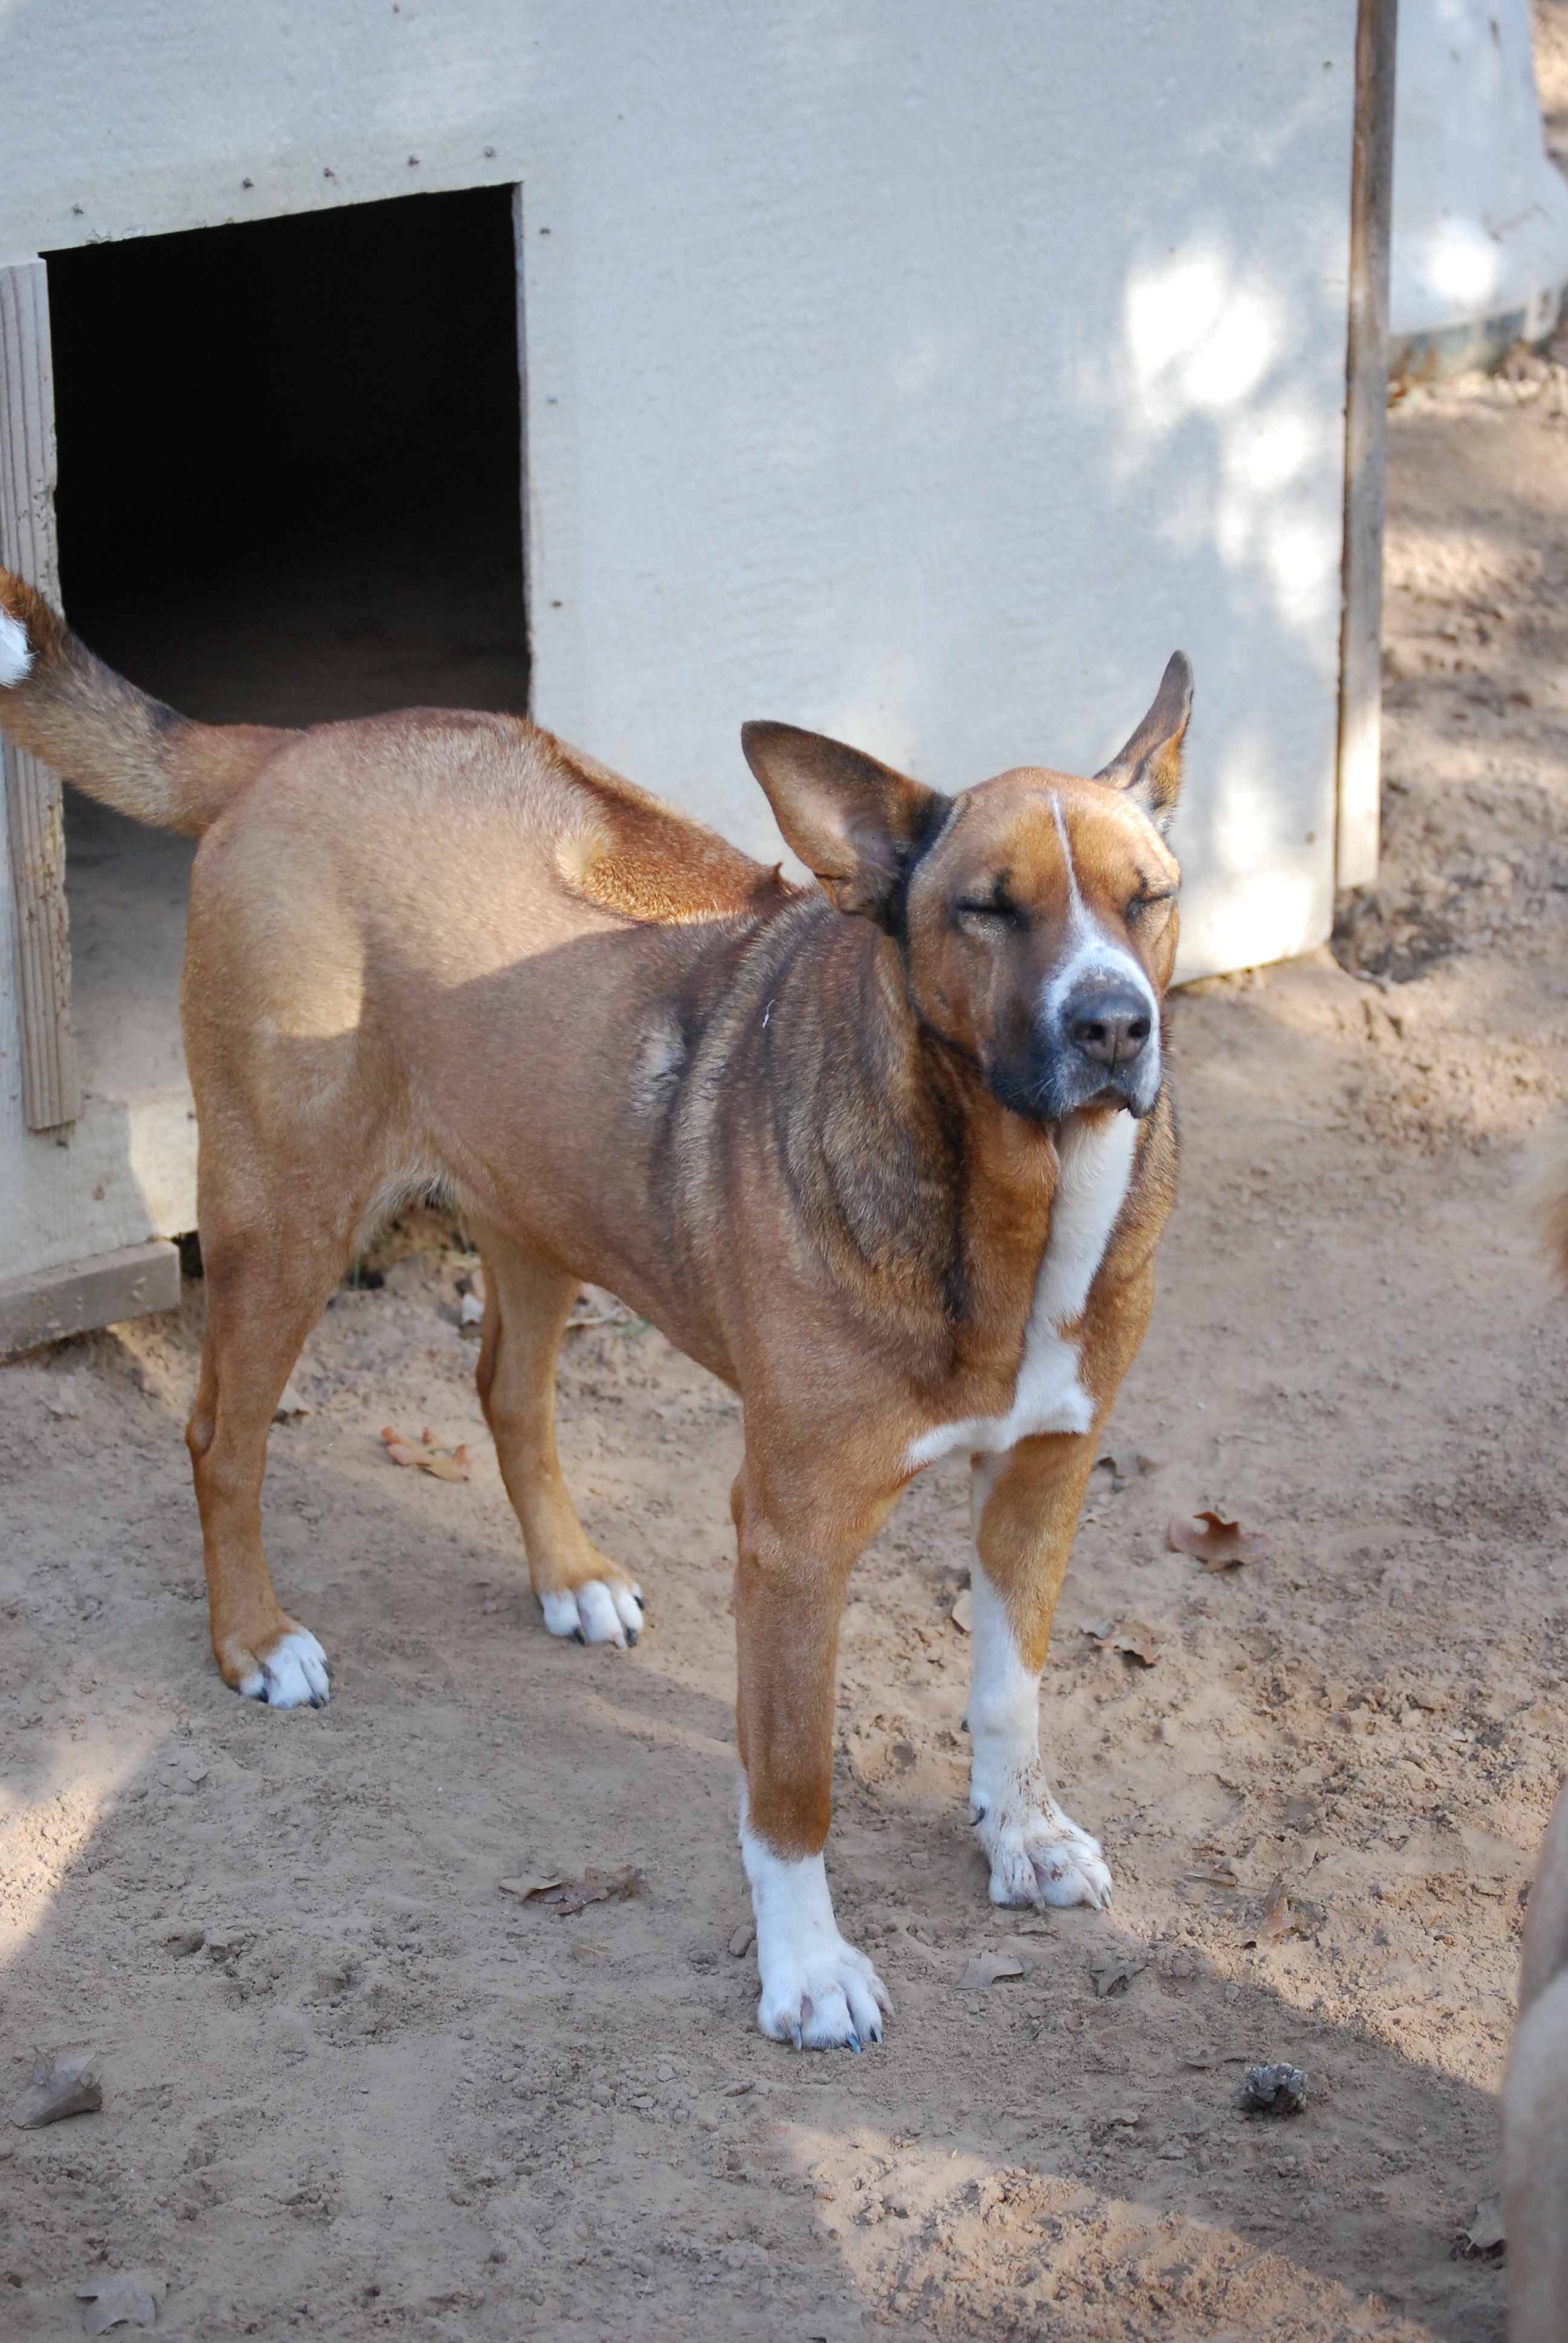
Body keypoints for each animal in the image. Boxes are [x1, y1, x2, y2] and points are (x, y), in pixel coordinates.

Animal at [0, 567, 1186, 2052]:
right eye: (986, 907)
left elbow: (1010, 1696)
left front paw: (1019, 1840)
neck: (1016, 1207)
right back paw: (253, 1641)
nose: (1114, 1026)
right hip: (285, 1216)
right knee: (222, 1433)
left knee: (504, 1390)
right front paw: (806, 1967)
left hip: (534, 1200)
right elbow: (790, 1785)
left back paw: (567, 1577)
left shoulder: (1046, 1477)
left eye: (1151, 899)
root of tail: (297, 746)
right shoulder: (792, 1535)